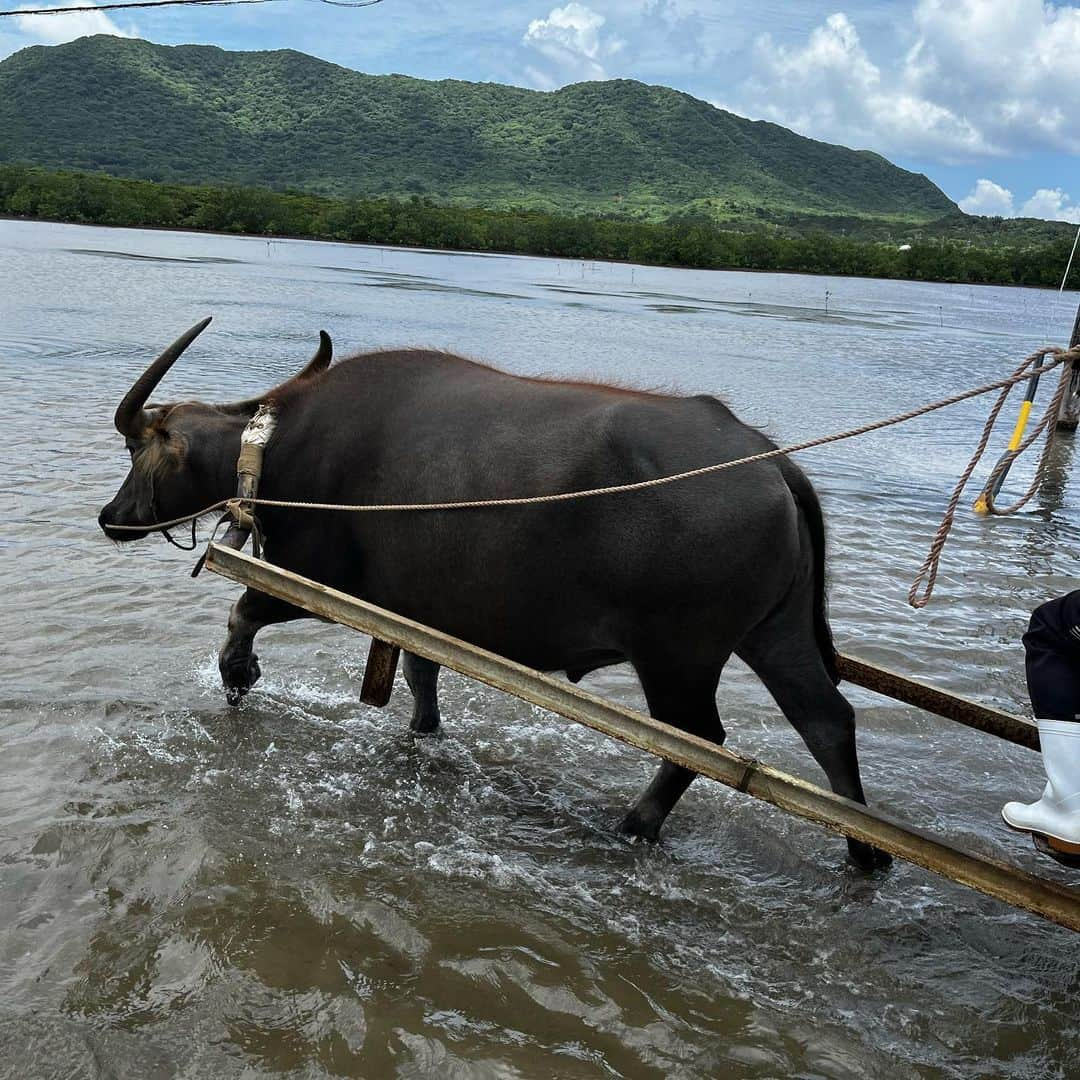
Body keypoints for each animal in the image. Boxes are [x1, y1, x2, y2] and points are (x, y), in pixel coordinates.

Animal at [101, 317, 889, 868]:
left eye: (141, 449)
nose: (111, 516)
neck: (278, 448)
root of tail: (770, 461)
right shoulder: (413, 609)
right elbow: (420, 671)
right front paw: (423, 731)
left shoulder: (313, 580)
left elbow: (243, 611)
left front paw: (238, 674)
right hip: (774, 634)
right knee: (826, 721)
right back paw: (864, 853)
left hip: (679, 657)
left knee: (699, 741)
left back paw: (634, 824)